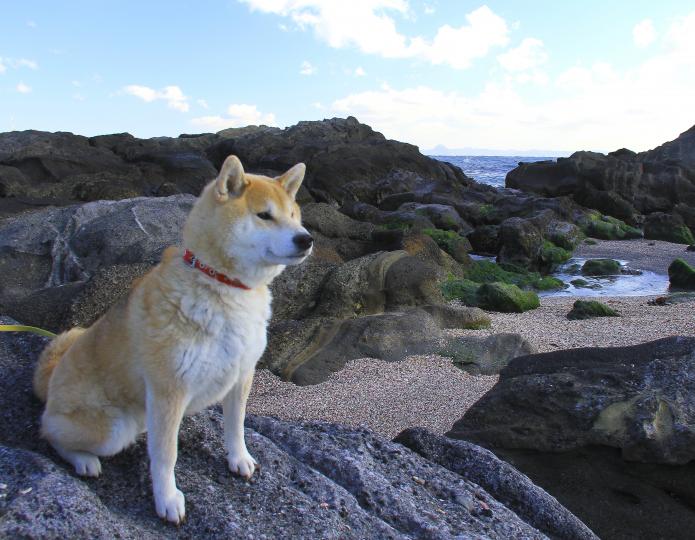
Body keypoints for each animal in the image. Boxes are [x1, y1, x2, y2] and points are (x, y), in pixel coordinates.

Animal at [32, 155, 314, 524]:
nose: (306, 239)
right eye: (264, 215)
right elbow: (167, 455)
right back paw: (83, 459)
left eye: (294, 215)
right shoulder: (169, 389)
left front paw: (239, 458)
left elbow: (236, 426)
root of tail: (51, 380)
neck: (224, 286)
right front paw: (167, 499)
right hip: (110, 429)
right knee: (49, 431)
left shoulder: (241, 374)